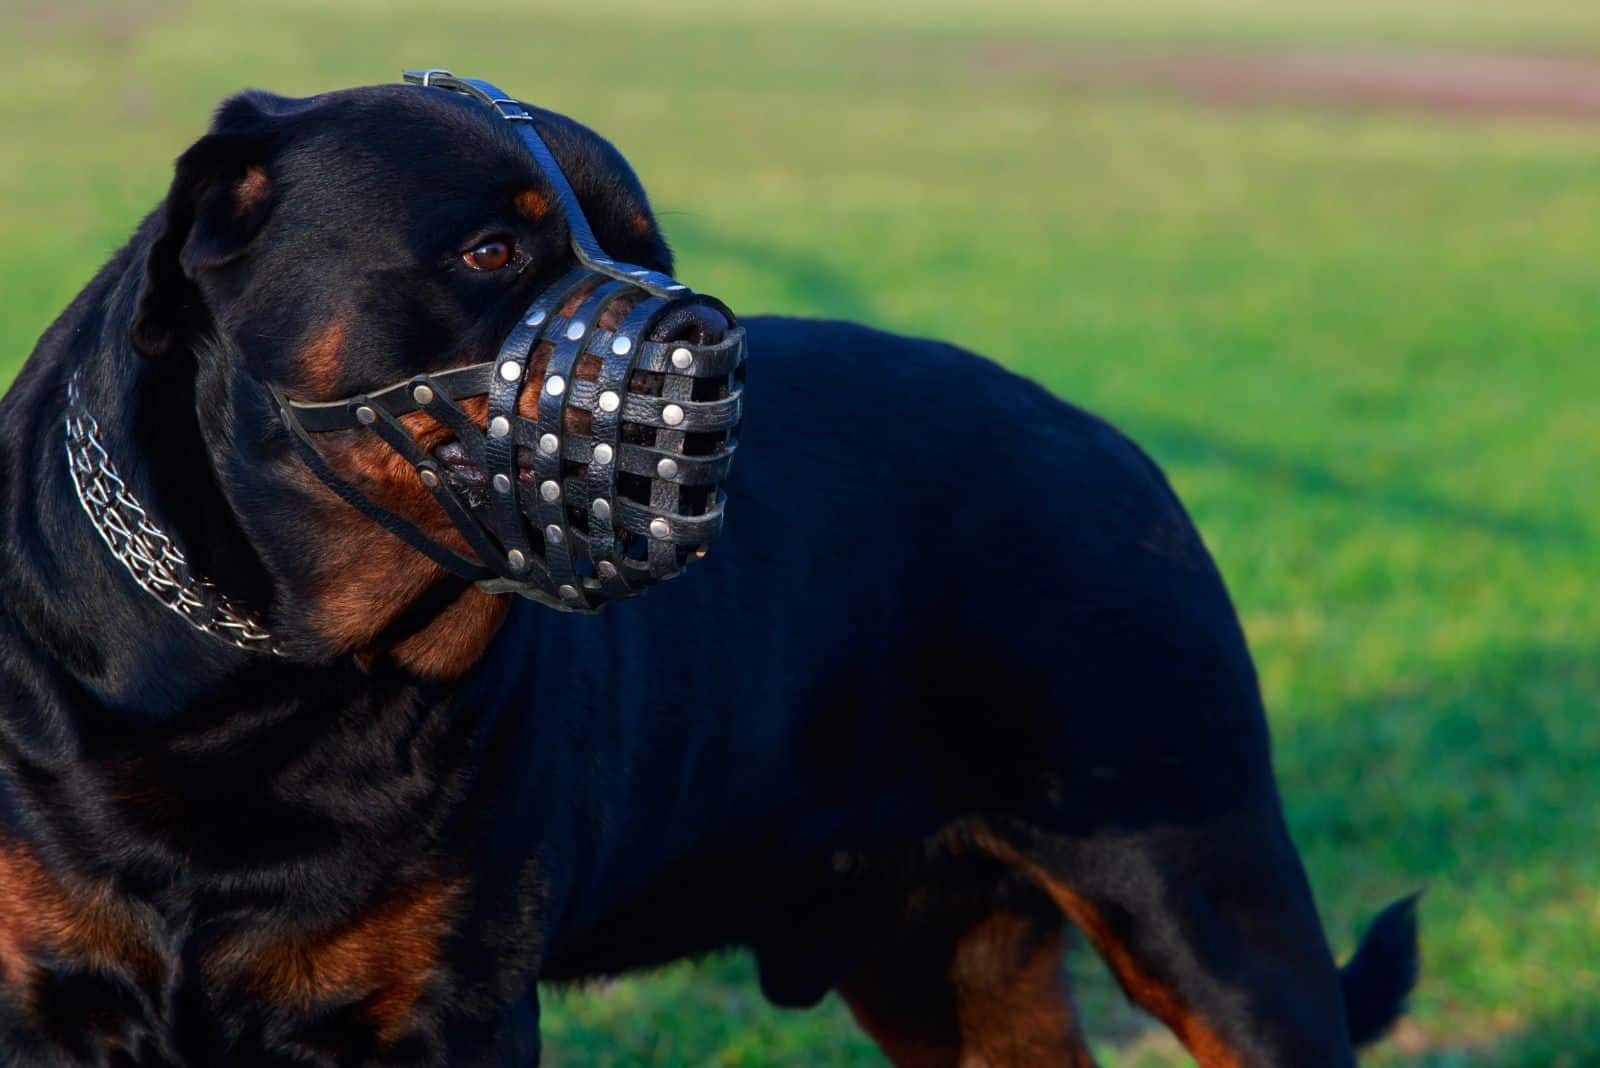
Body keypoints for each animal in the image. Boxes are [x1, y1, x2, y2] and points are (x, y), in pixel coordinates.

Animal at [3, 79, 1427, 1061]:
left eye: (653, 254)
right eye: (490, 252)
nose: (705, 337)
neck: (264, 680)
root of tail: (1109, 443)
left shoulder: (450, 1006)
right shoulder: (47, 1003)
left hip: (1204, 893)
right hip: (945, 957)